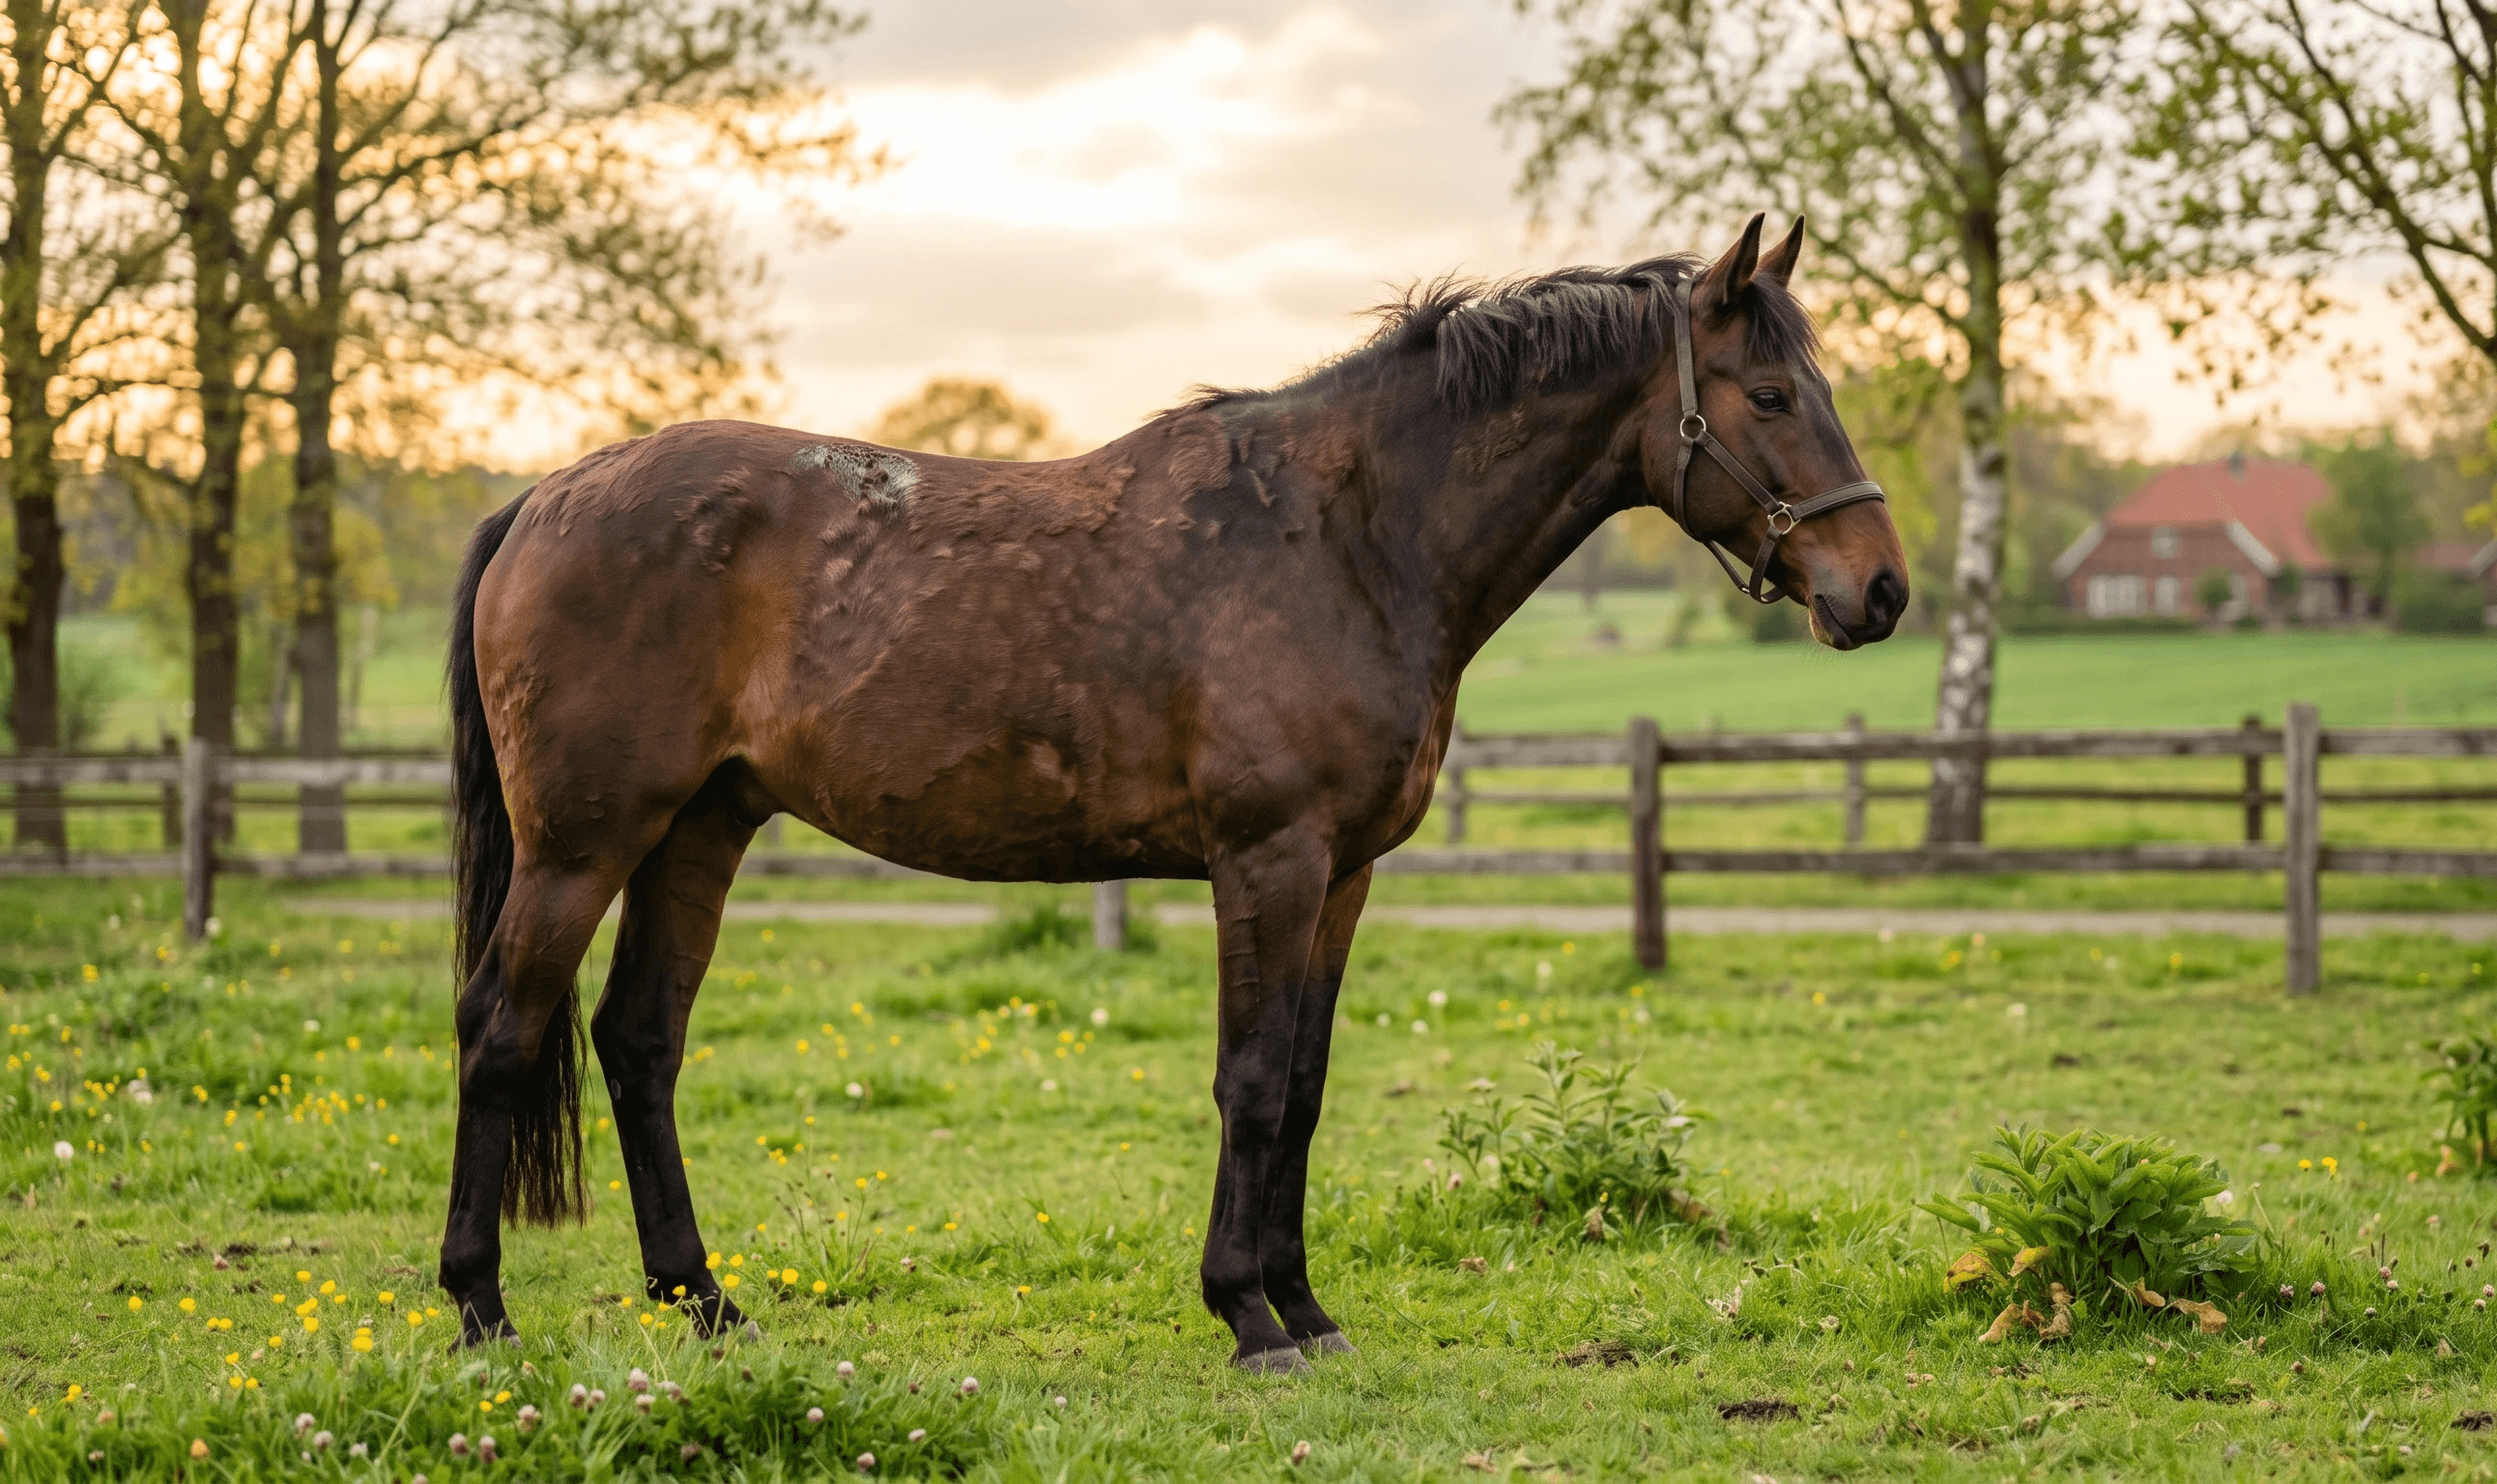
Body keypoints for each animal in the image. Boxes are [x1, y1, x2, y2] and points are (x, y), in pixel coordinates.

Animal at [439, 212, 1909, 1372]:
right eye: (1768, 396)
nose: (1881, 590)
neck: (1349, 536)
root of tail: (546, 496)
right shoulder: (1269, 860)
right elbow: (1249, 1081)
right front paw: (1247, 1318)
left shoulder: (1343, 875)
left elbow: (1303, 1084)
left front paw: (1307, 1309)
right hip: (580, 847)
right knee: (503, 1028)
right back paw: (481, 1311)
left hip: (701, 828)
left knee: (638, 1041)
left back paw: (706, 1304)